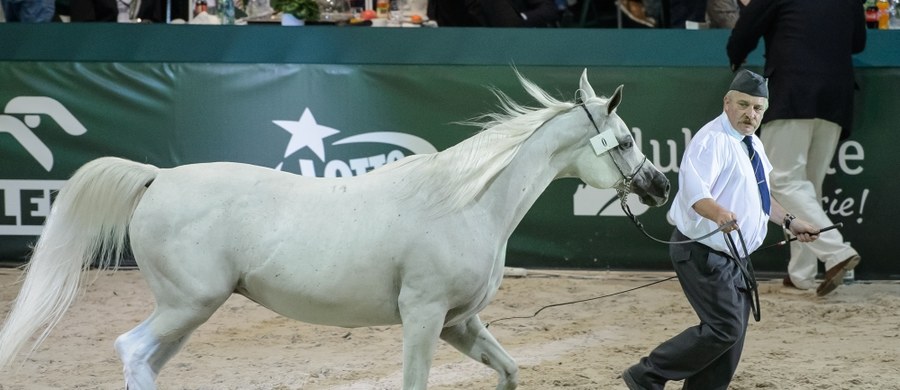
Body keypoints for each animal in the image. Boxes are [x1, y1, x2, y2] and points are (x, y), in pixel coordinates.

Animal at [0, 70, 668, 390]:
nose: (661, 187)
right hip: (188, 306)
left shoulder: (461, 322)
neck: (465, 203)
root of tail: (157, 177)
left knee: (144, 363)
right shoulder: (424, 317)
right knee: (129, 351)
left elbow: (508, 371)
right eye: (624, 140)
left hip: (186, 316)